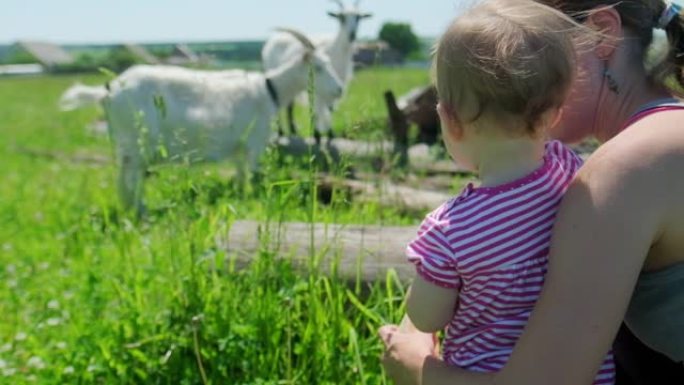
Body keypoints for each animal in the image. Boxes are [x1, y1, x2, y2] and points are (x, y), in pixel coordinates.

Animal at [61, 28, 344, 212]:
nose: (340, 90)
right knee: (132, 178)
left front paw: (240, 199)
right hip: (137, 142)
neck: (269, 89)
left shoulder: (239, 148)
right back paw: (141, 211)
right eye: (318, 67)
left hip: (125, 144)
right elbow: (254, 178)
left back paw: (129, 209)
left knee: (123, 177)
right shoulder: (255, 143)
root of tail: (108, 91)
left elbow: (241, 177)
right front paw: (256, 202)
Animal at [262, 0, 372, 142]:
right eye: (341, 18)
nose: (352, 34)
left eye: (358, 18)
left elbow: (329, 109)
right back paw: (282, 133)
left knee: (289, 106)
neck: (335, 51)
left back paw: (293, 132)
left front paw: (330, 135)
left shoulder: (333, 86)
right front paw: (317, 135)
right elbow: (318, 110)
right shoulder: (320, 87)